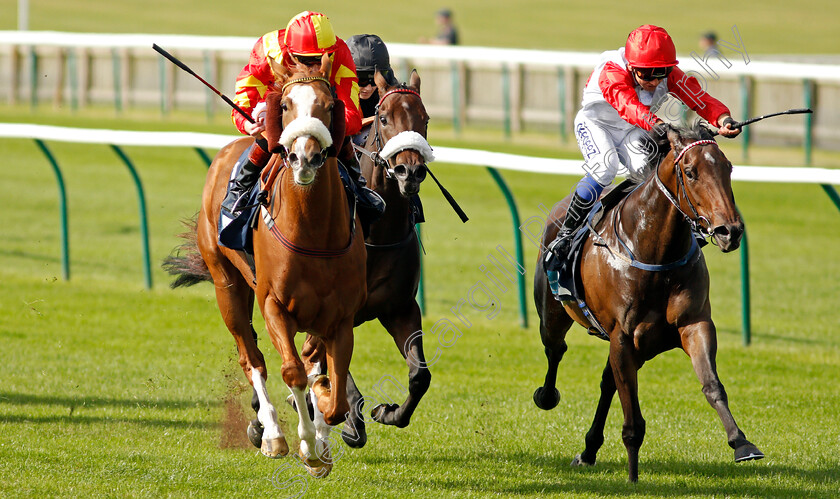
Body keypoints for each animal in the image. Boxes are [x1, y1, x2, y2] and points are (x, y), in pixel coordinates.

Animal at [536, 123, 764, 482]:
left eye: (728, 168)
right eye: (690, 172)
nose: (730, 231)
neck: (655, 249)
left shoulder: (693, 324)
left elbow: (712, 385)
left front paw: (742, 443)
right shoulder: (623, 337)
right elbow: (632, 418)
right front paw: (632, 479)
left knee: (607, 382)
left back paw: (589, 450)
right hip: (553, 314)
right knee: (555, 350)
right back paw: (547, 396)